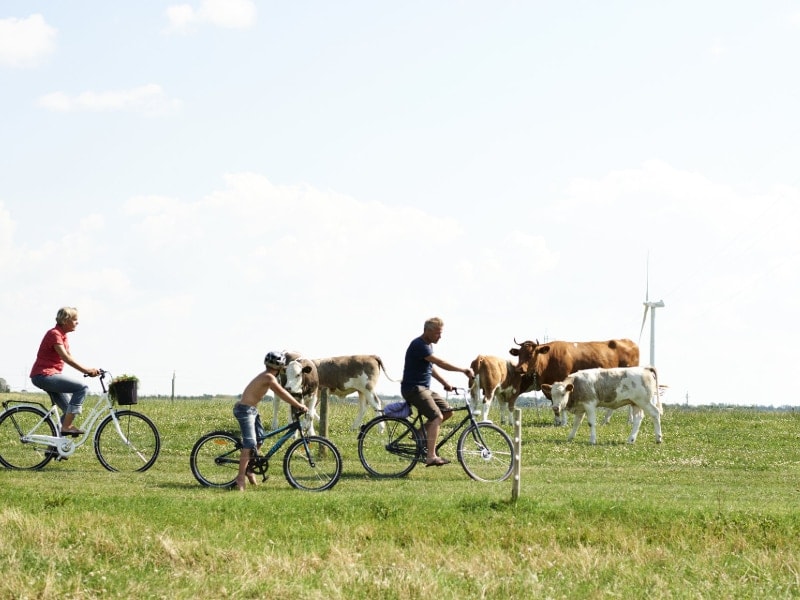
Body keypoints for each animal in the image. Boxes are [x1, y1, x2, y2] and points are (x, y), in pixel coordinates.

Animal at [510, 338, 640, 426]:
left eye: (531, 354)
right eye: (519, 354)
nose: (519, 369)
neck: (547, 361)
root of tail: (629, 342)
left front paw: (563, 422)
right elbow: (554, 402)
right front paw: (557, 421)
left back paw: (629, 420)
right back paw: (606, 421)